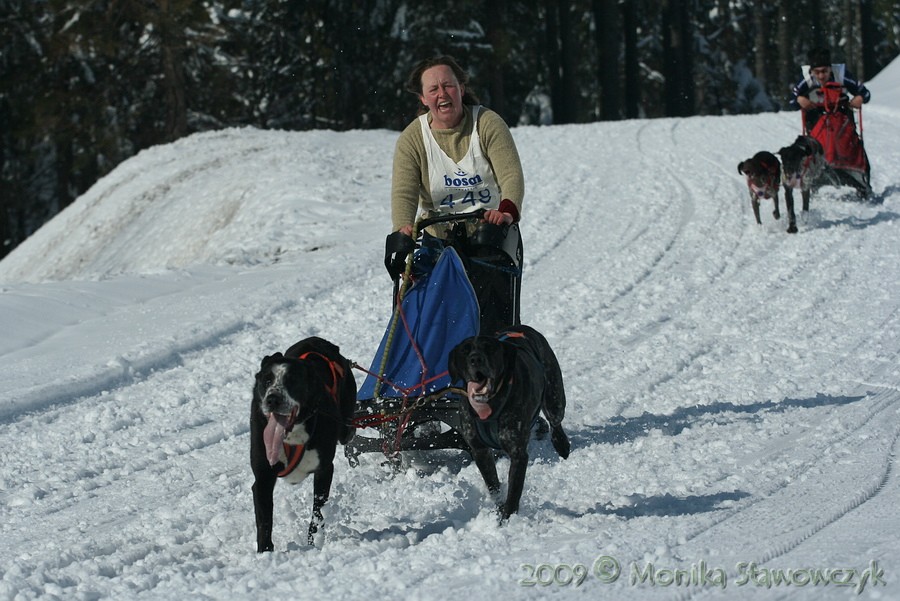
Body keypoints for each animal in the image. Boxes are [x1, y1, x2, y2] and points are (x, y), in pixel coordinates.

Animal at [251, 336, 356, 552]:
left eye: (291, 381)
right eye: (267, 381)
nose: (272, 399)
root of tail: (319, 341)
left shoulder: (324, 470)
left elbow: (318, 512)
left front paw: (313, 544)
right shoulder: (263, 477)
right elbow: (264, 522)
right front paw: (265, 552)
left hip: (346, 427)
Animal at [448, 324, 568, 520]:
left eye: (489, 348)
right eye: (465, 350)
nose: (475, 359)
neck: (489, 406)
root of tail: (523, 327)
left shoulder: (518, 453)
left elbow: (514, 491)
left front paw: (507, 519)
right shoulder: (480, 450)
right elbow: (493, 486)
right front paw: (498, 509)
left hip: (554, 396)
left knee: (555, 421)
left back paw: (562, 445)